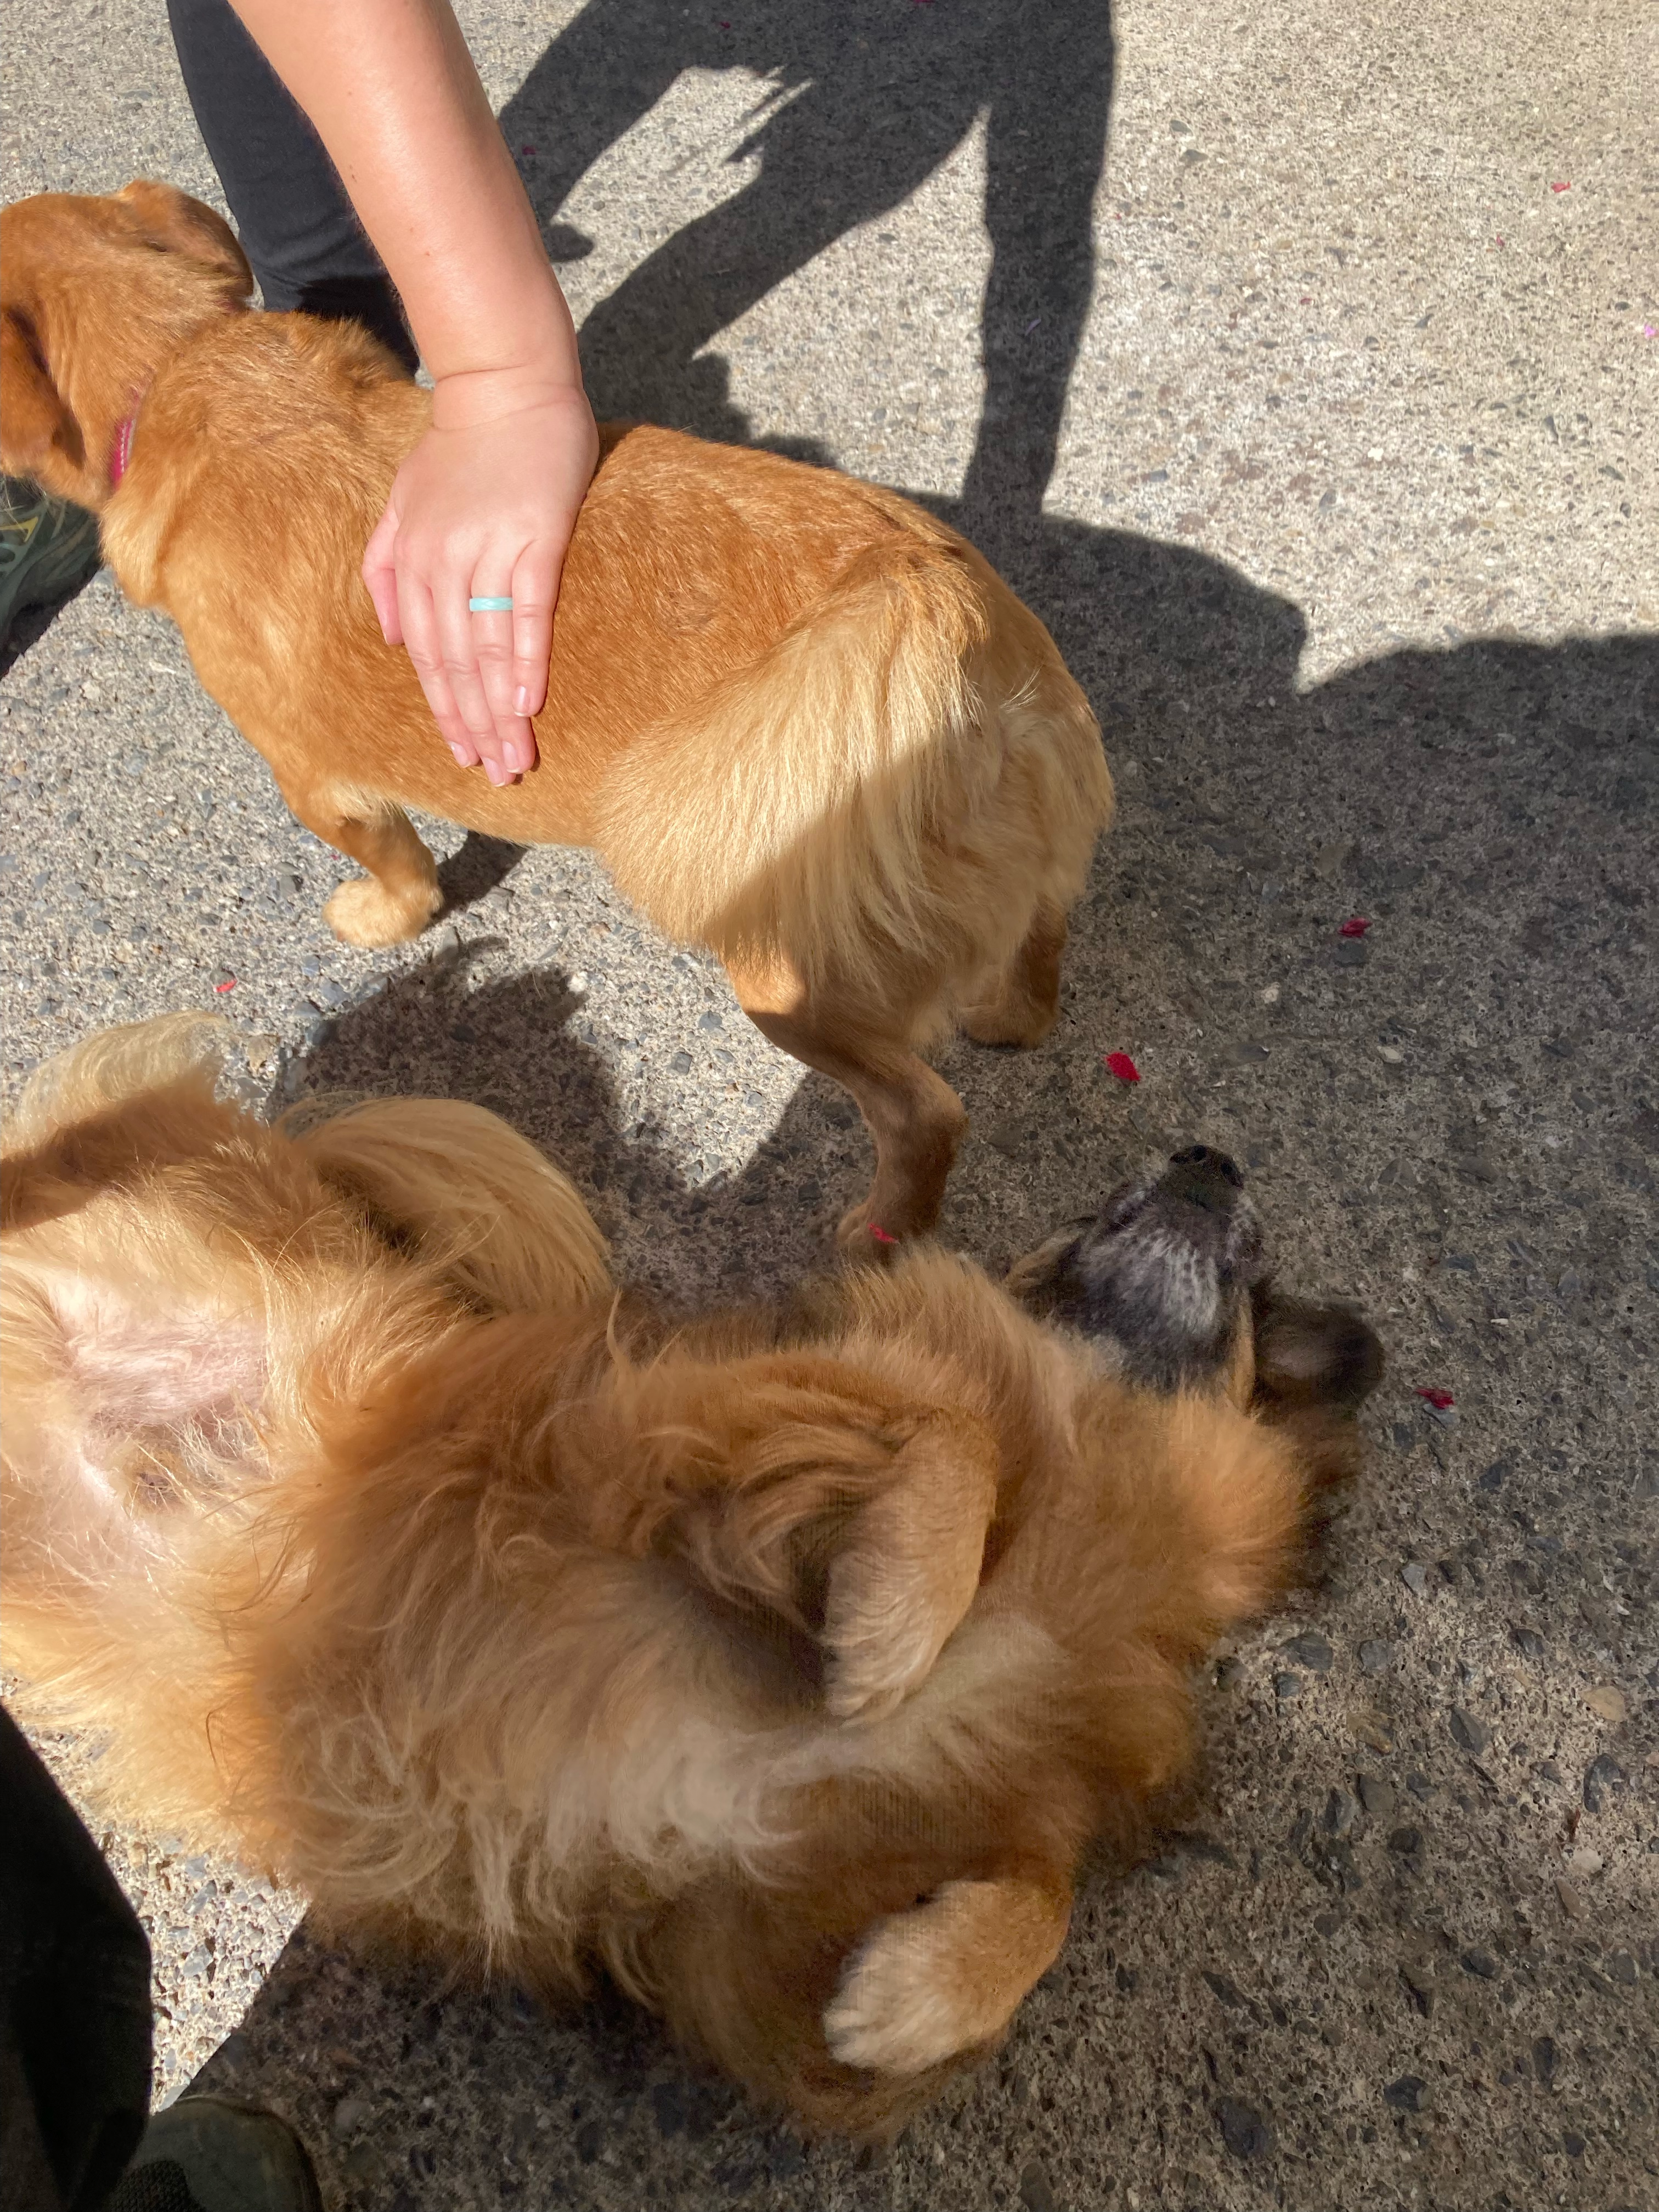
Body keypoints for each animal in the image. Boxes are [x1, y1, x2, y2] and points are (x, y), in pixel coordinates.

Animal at [0, 181, 1113, 1249]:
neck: (180, 363)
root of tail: (936, 606)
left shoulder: (322, 787)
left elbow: (400, 869)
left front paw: (382, 917)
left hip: (795, 986)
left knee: (925, 1114)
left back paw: (883, 1232)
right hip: (1016, 883)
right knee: (1040, 944)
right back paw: (1008, 1017)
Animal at [0, 1017, 1381, 2137]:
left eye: (1253, 1284)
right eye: (1082, 1224)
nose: (1208, 1157)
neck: (1095, 1463)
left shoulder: (761, 1904)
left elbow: (1040, 1896)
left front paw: (919, 1998)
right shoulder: (672, 1436)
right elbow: (955, 1438)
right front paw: (896, 1626)